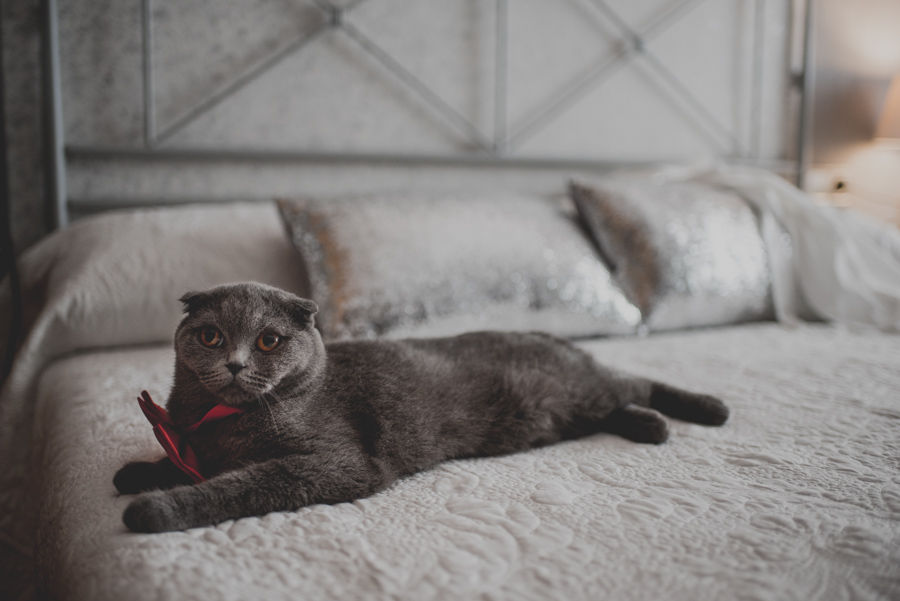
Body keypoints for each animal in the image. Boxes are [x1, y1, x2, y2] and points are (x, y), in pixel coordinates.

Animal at [114, 282, 732, 528]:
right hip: (572, 409)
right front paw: (136, 473)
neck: (219, 423)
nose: (237, 364)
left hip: (584, 386)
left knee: (636, 381)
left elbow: (236, 485)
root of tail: (546, 333)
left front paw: (155, 508)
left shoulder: (335, 464)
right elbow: (182, 462)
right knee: (619, 402)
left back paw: (706, 409)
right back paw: (652, 427)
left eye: (268, 340)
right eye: (212, 336)